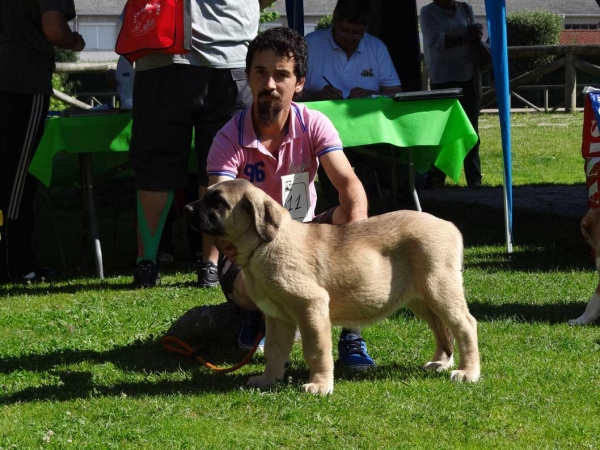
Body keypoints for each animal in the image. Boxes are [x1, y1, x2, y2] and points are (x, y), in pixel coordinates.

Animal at [185, 179, 480, 394]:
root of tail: (450, 226)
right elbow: (274, 350)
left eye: (218, 202)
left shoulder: (311, 306)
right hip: (420, 298)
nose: (187, 209)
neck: (265, 245)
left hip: (439, 288)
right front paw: (268, 379)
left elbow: (315, 350)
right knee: (442, 329)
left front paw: (319, 385)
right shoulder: (277, 317)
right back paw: (441, 362)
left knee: (464, 324)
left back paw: (468, 372)